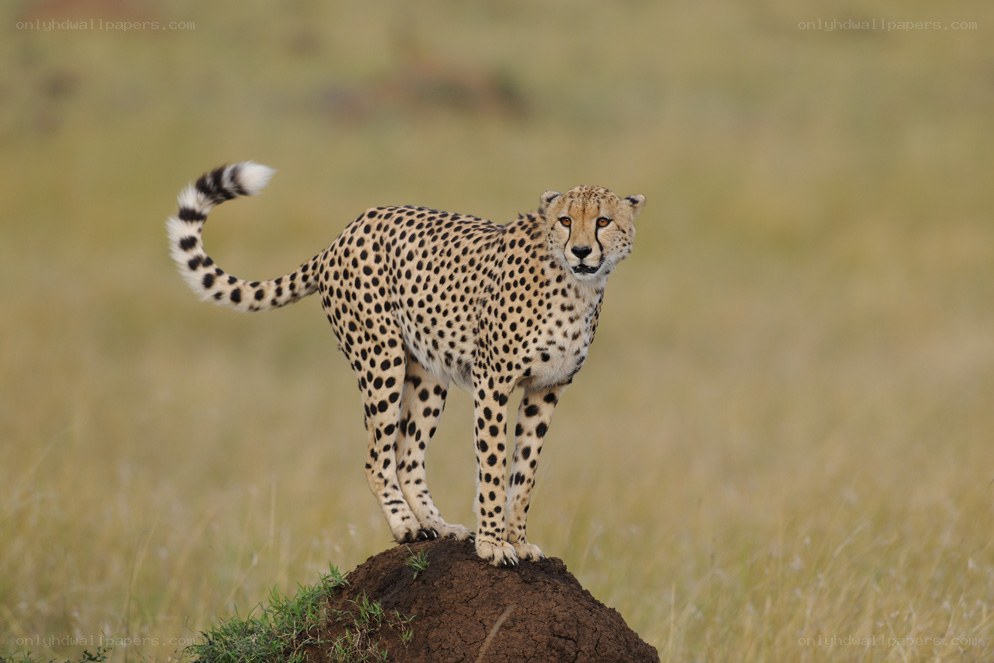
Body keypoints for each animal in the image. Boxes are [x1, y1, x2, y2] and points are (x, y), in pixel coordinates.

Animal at [165, 162, 645, 566]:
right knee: (377, 458)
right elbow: (493, 465)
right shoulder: (493, 382)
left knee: (407, 455)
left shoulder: (546, 390)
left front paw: (518, 540)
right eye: (565, 221)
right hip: (381, 358)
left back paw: (438, 524)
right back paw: (406, 526)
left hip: (429, 374)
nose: (581, 250)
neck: (577, 287)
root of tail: (347, 230)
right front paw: (493, 543)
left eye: (603, 221)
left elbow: (524, 473)